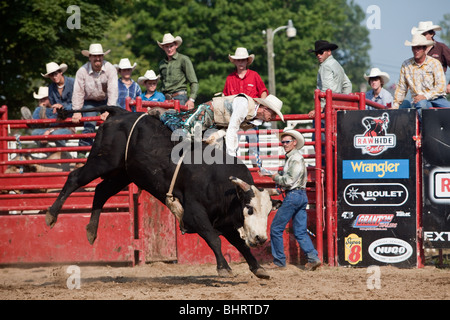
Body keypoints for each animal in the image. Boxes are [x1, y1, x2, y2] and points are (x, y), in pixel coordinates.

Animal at [47, 106, 282, 278]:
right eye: (249, 209)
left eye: (268, 212)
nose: (261, 238)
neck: (221, 184)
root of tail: (120, 112)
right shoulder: (195, 214)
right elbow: (214, 239)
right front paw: (224, 269)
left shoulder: (224, 220)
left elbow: (239, 243)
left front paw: (258, 268)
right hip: (103, 161)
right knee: (75, 178)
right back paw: (51, 215)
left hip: (124, 173)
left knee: (101, 191)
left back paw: (91, 231)